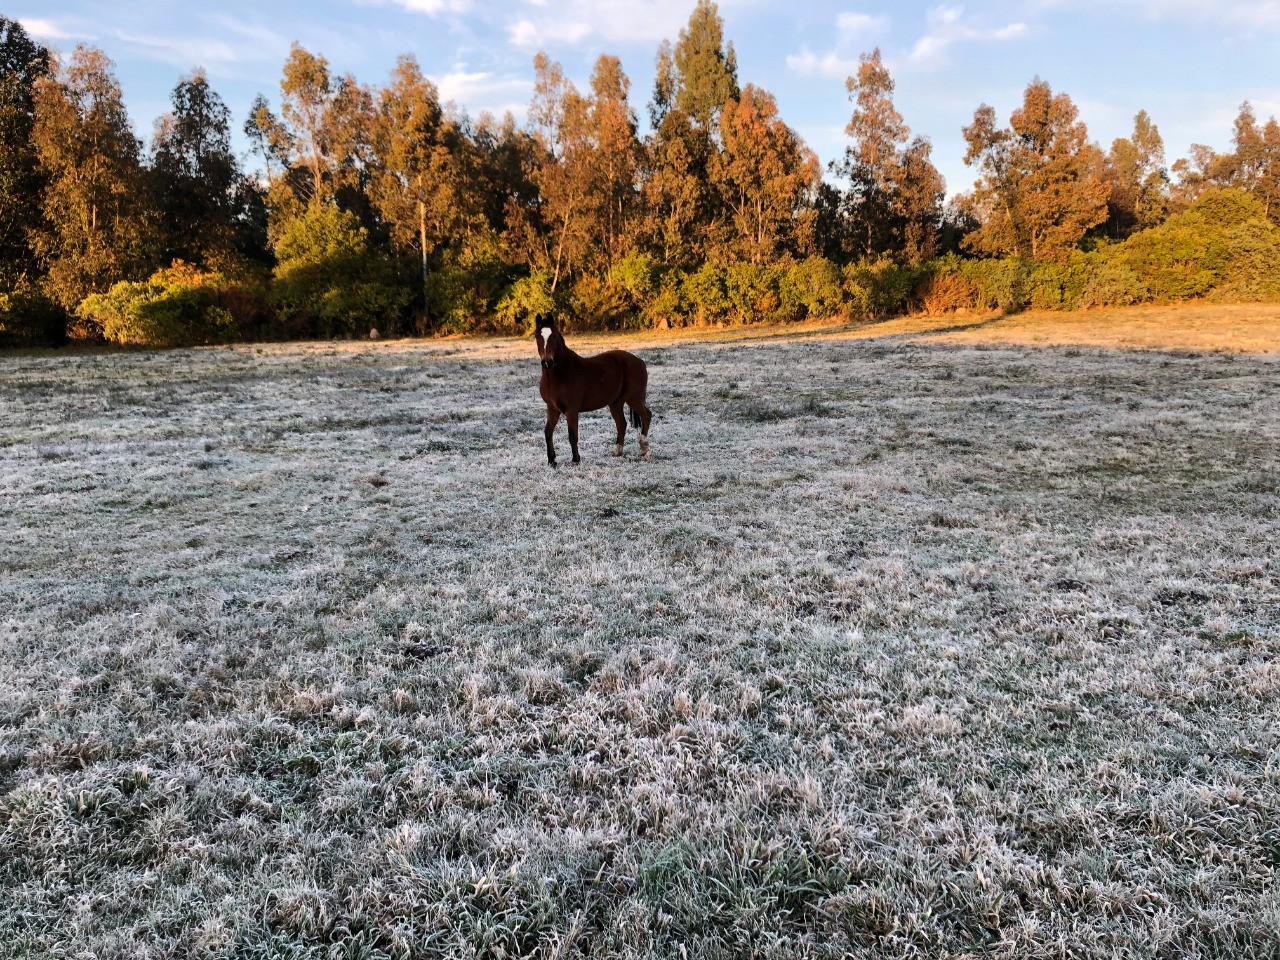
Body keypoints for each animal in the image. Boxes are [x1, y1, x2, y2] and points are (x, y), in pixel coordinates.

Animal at [532, 320, 650, 471]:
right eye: (537, 337)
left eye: (554, 336)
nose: (547, 362)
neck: (559, 375)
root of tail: (639, 361)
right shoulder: (552, 409)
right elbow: (548, 432)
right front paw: (552, 461)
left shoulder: (572, 410)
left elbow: (572, 434)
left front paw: (575, 460)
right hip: (616, 402)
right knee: (621, 423)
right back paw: (617, 451)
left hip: (633, 398)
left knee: (646, 415)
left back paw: (644, 449)